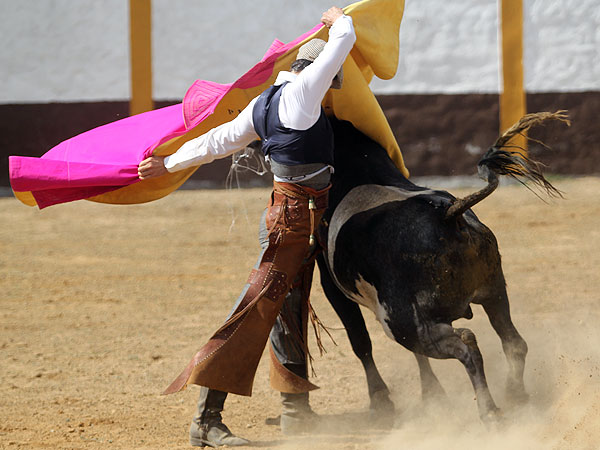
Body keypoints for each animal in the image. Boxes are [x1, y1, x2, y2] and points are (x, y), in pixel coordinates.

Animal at [316, 117, 564, 422]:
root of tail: (448, 215)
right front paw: (432, 394)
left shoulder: (331, 284)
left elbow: (359, 340)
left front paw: (382, 401)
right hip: (493, 289)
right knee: (513, 341)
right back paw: (515, 395)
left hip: (403, 324)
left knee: (466, 346)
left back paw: (490, 411)